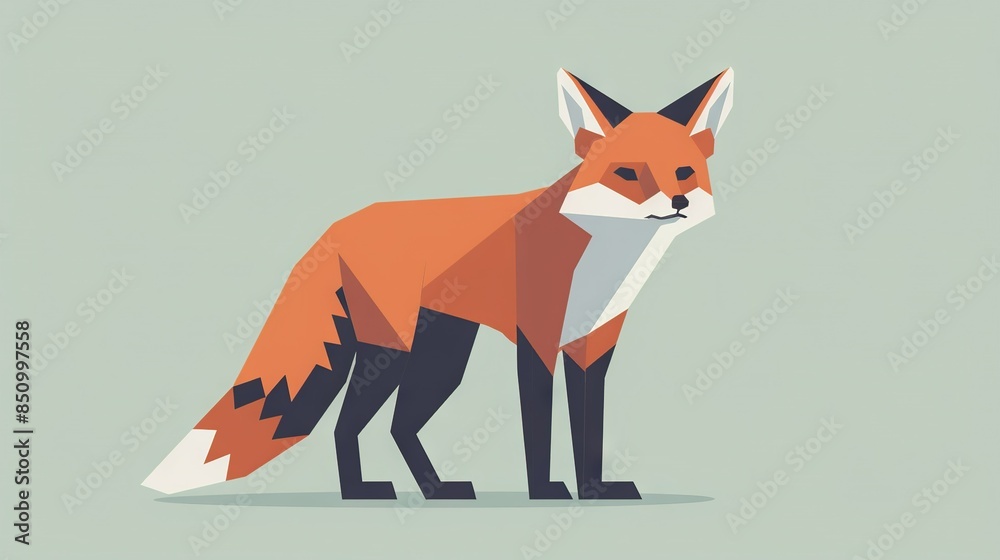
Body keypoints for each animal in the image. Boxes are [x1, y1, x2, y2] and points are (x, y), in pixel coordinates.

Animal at [143, 68, 735, 500]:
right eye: (627, 174)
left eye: (684, 172)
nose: (677, 202)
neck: (605, 258)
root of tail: (340, 224)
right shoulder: (537, 341)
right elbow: (539, 431)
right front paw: (545, 491)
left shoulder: (592, 348)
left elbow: (590, 430)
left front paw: (594, 491)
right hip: (391, 353)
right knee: (346, 425)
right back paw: (361, 492)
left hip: (442, 359)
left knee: (399, 426)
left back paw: (436, 489)